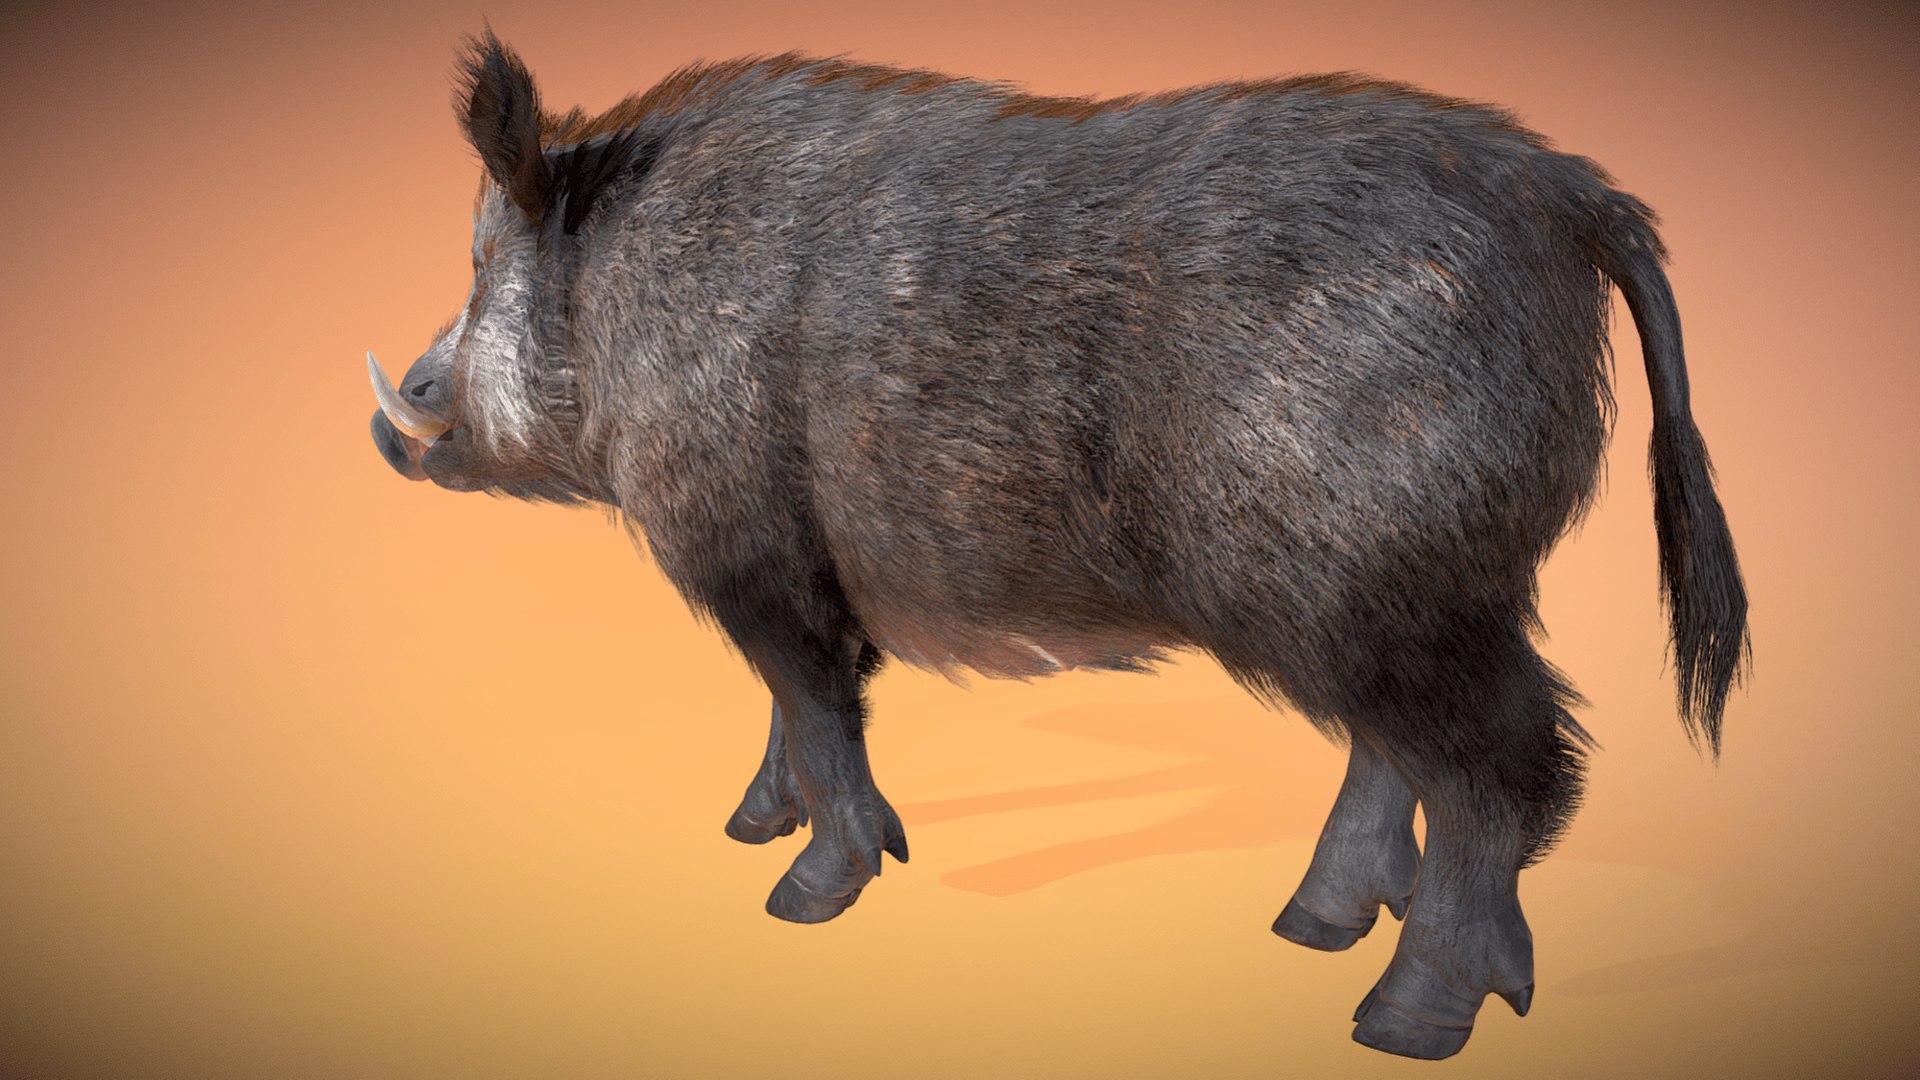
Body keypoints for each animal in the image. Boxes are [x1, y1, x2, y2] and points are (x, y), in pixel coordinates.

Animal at [368, 33, 1748, 1059]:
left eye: (484, 267)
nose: (400, 417)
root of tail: (1576, 197)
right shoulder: (797, 559)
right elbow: (800, 705)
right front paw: (748, 832)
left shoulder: (743, 538)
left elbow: (810, 700)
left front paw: (799, 896)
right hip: (1417, 581)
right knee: (1408, 749)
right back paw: (1314, 931)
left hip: (1379, 568)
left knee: (1511, 757)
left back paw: (1401, 1020)